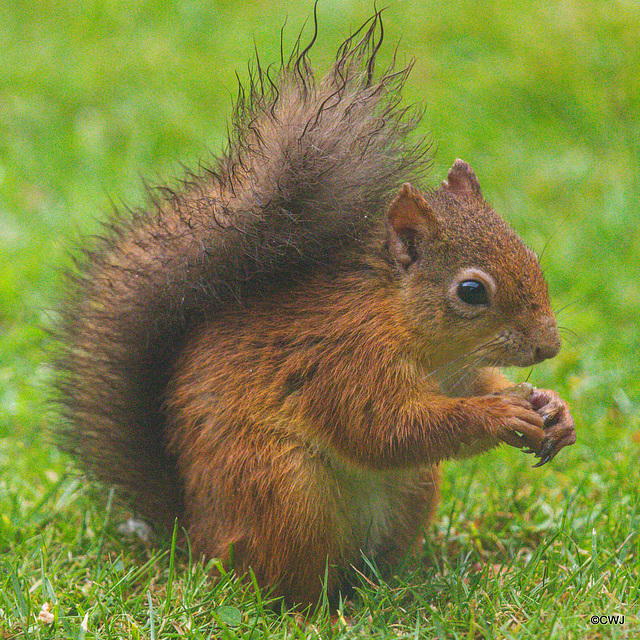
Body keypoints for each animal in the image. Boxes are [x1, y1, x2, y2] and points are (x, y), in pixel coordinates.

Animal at [55, 16, 576, 608]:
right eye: (471, 291)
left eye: (529, 253)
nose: (549, 346)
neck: (407, 327)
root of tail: (195, 540)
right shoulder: (344, 360)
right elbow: (384, 429)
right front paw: (501, 414)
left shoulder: (459, 371)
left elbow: (472, 389)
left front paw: (552, 407)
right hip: (286, 493)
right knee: (280, 580)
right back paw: (316, 610)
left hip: (413, 489)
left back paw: (393, 584)